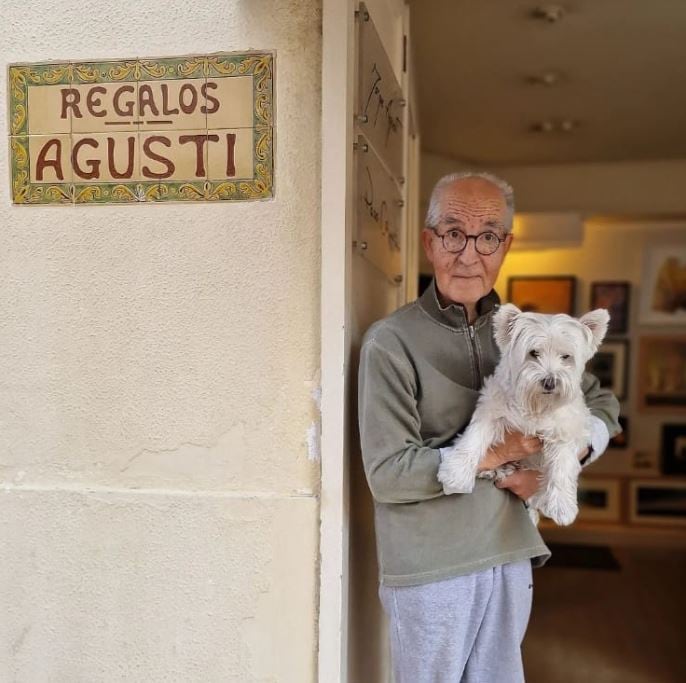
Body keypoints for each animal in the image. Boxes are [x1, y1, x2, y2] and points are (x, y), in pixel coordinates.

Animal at [438, 306, 612, 528]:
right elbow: (474, 438)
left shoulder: (564, 431)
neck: (536, 405)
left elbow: (562, 466)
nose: (550, 382)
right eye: (534, 353)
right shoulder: (492, 411)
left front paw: (562, 507)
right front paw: (455, 474)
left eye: (566, 356)